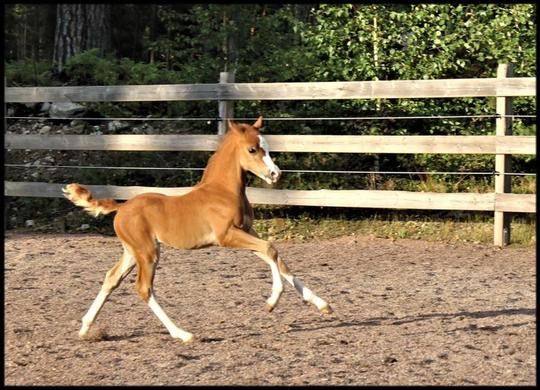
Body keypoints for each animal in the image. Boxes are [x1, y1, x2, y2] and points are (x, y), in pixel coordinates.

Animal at [64, 116, 334, 342]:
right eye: (252, 149)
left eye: (267, 147)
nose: (275, 174)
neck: (223, 191)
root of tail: (121, 207)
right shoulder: (227, 236)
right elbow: (270, 250)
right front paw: (271, 302)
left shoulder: (247, 231)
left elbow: (275, 257)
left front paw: (322, 304)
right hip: (148, 252)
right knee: (143, 288)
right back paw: (182, 334)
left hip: (132, 252)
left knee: (111, 279)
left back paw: (85, 328)